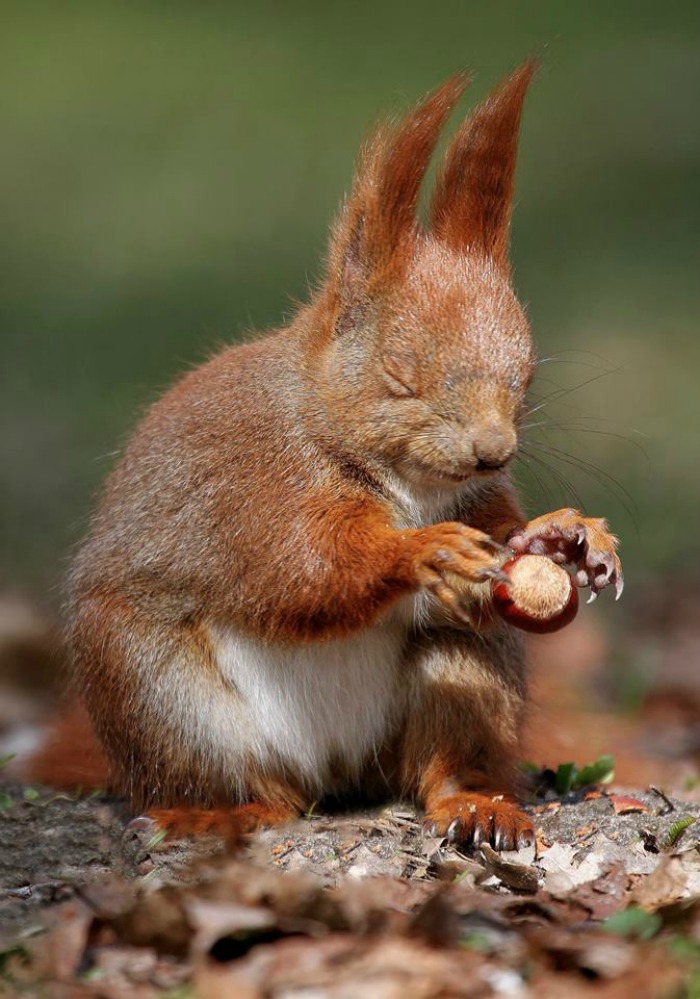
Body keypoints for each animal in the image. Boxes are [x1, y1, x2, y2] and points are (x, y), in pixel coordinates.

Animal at [32, 64, 628, 852]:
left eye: (526, 377)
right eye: (400, 376)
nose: (492, 451)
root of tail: (338, 772)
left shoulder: (480, 500)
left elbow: (504, 532)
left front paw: (571, 536)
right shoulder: (255, 486)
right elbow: (304, 569)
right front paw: (422, 551)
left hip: (466, 675)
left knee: (441, 760)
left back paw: (476, 803)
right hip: (159, 692)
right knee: (249, 787)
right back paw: (215, 811)